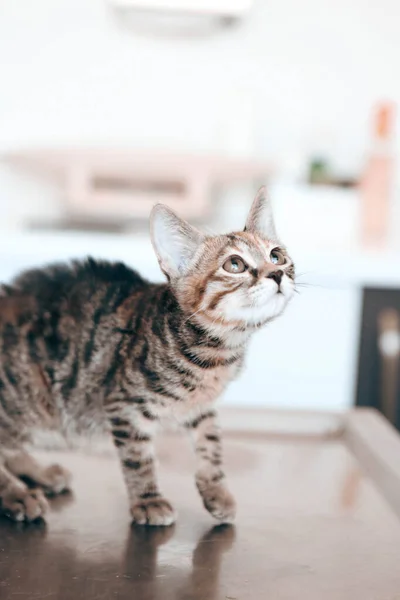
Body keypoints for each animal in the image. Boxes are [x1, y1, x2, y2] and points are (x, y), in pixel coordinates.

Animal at [0, 188, 294, 524]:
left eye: (277, 256)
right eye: (234, 264)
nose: (277, 274)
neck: (216, 352)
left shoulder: (202, 408)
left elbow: (211, 446)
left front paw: (216, 491)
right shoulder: (124, 406)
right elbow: (138, 459)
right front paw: (148, 500)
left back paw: (41, 475)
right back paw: (18, 495)